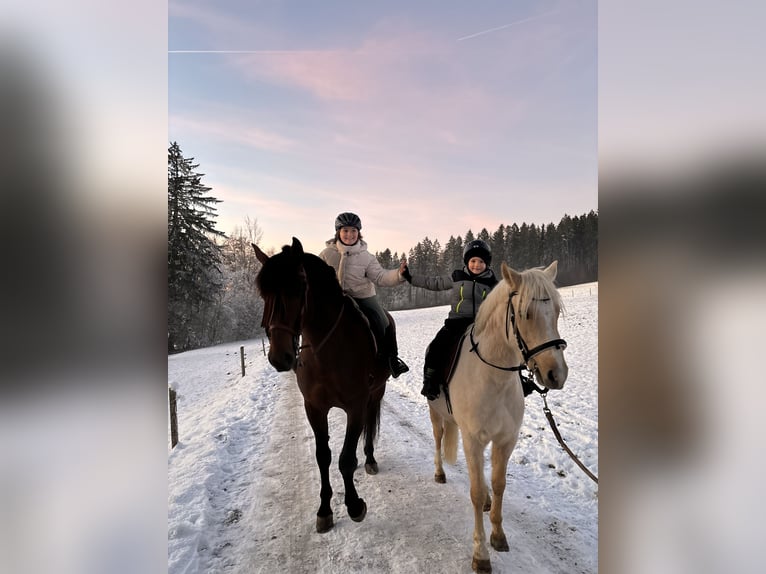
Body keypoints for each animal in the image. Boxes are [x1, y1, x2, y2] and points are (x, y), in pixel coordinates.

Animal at [255, 238, 392, 536]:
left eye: (298, 287)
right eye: (263, 293)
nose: (279, 358)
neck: (326, 349)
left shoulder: (355, 406)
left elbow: (345, 459)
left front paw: (354, 506)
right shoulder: (314, 408)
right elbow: (323, 457)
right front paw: (324, 510)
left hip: (376, 394)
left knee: (369, 425)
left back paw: (370, 459)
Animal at [428, 262, 568, 574]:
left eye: (555, 311)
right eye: (525, 313)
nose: (557, 374)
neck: (494, 377)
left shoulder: (505, 440)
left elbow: (498, 485)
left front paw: (498, 536)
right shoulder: (472, 440)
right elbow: (476, 491)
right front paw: (481, 554)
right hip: (437, 415)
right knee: (439, 441)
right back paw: (440, 473)